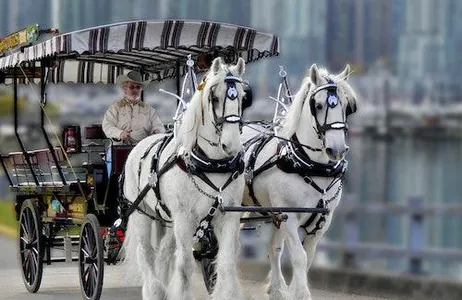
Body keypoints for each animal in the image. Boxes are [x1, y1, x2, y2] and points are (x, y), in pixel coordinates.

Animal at [121, 56, 247, 300]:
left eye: (243, 98)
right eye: (214, 98)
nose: (232, 145)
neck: (210, 164)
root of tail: (139, 144)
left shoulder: (228, 216)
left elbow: (226, 263)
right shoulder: (184, 217)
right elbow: (185, 265)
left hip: (167, 219)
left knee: (164, 253)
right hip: (142, 213)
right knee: (146, 253)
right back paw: (154, 290)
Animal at [242, 63, 358, 300]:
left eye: (347, 106)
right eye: (318, 105)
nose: (337, 150)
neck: (309, 165)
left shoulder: (322, 221)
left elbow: (307, 257)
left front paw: (293, 290)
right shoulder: (289, 217)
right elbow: (299, 257)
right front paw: (301, 293)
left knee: (273, 248)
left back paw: (277, 288)